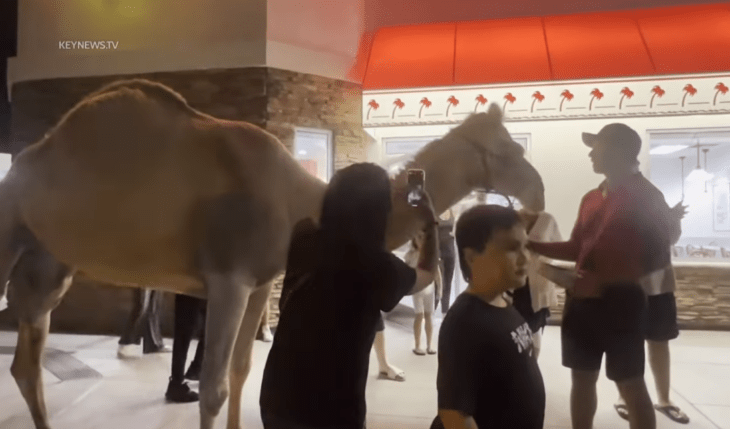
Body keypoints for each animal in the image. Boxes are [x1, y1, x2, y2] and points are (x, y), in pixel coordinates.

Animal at [0, 78, 540, 426]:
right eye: (509, 150)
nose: (536, 193)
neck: (299, 200)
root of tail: (24, 161)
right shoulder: (228, 280)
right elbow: (213, 389)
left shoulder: (260, 283)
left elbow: (241, 374)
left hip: (50, 264)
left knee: (26, 364)